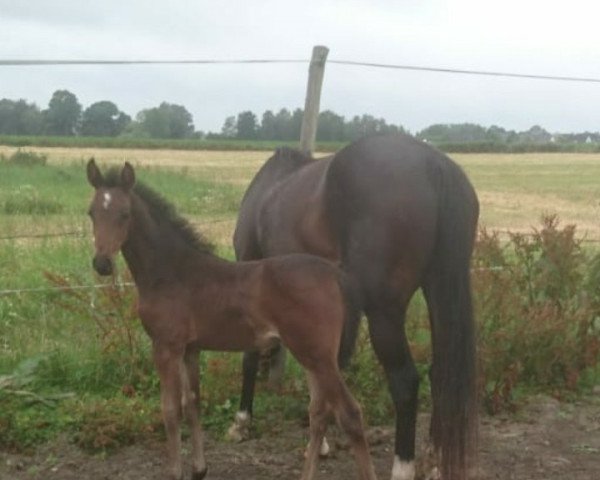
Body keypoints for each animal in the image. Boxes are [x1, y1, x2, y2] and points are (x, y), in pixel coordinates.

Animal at [86, 160, 378, 480]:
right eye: (92, 212)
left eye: (124, 214)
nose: (102, 263)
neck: (171, 272)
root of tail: (336, 275)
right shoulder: (190, 349)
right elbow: (193, 403)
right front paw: (199, 469)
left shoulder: (166, 346)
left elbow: (171, 410)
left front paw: (175, 472)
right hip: (312, 356)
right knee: (319, 413)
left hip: (318, 355)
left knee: (350, 414)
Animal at [230, 134, 478, 480]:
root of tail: (433, 164)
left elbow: (251, 357)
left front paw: (242, 422)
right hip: (439, 289)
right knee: (440, 374)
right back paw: (434, 462)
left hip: (384, 313)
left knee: (405, 382)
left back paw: (403, 467)